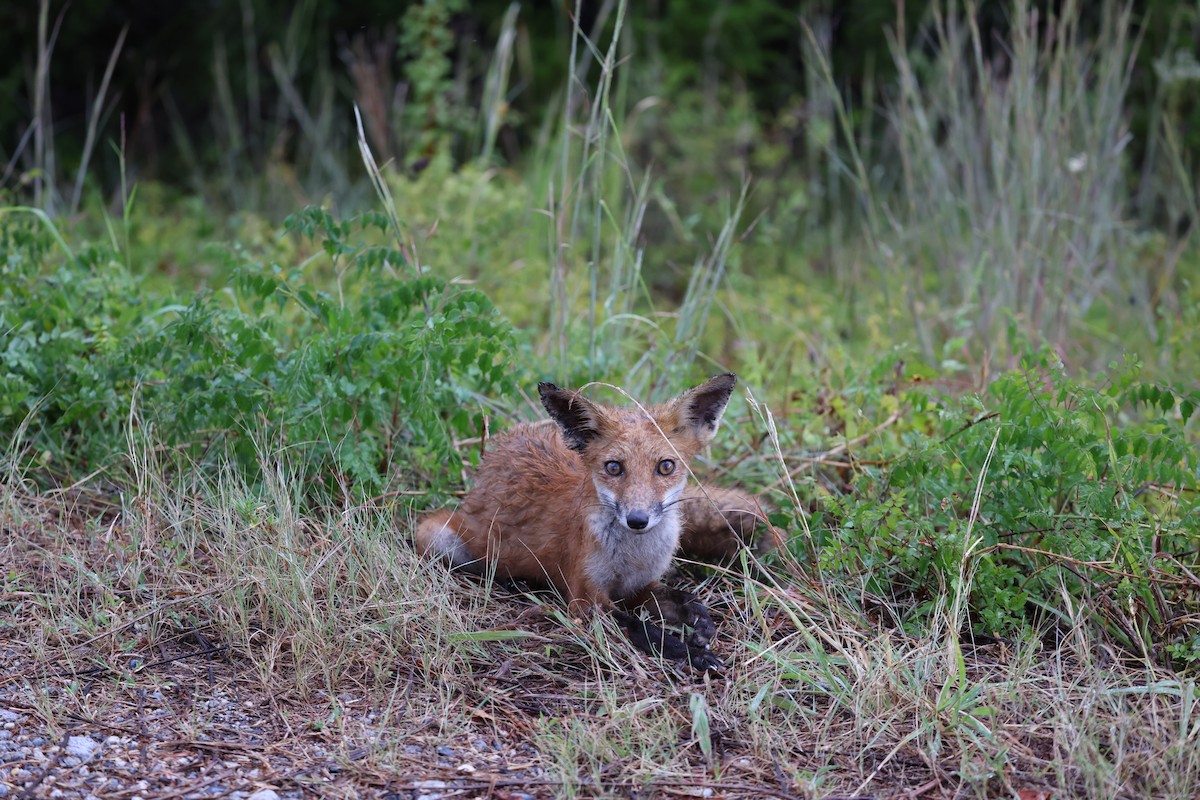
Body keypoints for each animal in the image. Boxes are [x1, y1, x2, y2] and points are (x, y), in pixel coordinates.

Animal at [414, 372, 770, 670]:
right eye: (614, 467)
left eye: (666, 466)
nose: (637, 519)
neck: (631, 558)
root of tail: (487, 466)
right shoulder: (587, 599)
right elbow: (644, 630)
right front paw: (690, 653)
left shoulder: (639, 588)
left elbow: (687, 599)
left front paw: (702, 626)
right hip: (437, 538)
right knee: (480, 568)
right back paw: (518, 583)